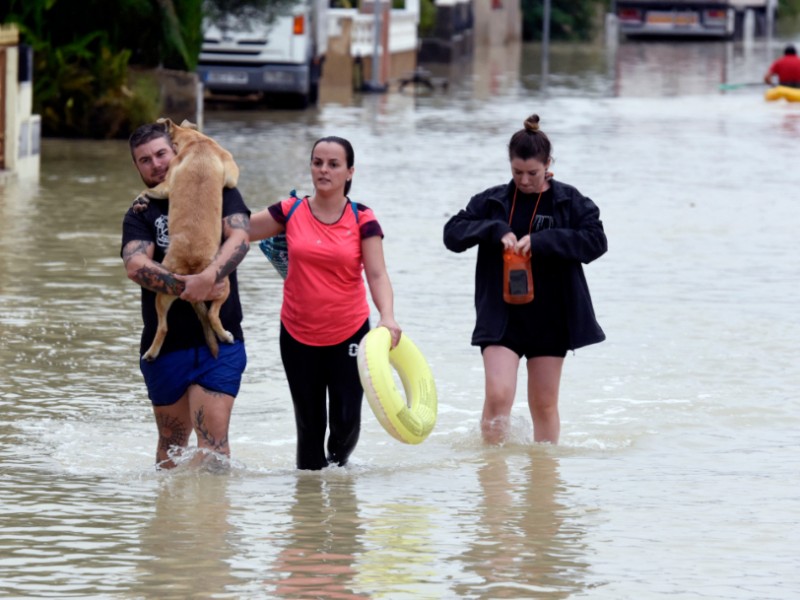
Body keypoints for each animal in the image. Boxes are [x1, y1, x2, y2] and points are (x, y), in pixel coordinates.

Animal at [139, 117, 239, 360]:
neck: (196, 142)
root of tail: (191, 266)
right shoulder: (232, 172)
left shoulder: (165, 185)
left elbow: (149, 190)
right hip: (223, 284)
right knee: (212, 315)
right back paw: (225, 336)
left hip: (162, 293)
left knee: (163, 327)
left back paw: (152, 353)